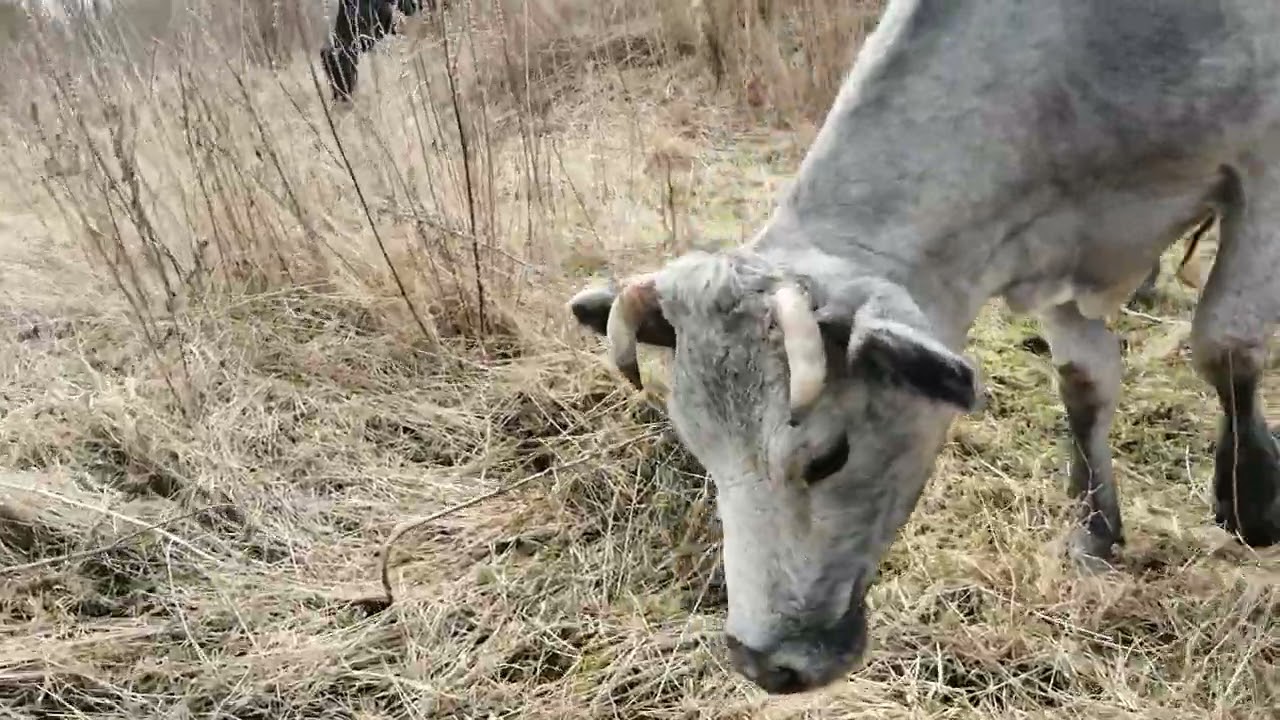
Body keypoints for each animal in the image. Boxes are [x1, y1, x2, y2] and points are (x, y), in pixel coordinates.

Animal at [565, 0, 1280, 697]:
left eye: (827, 457)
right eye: (700, 451)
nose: (763, 664)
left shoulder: (1261, 173)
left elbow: (1225, 344)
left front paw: (1252, 496)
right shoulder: (1054, 246)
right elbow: (1084, 380)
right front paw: (1093, 528)